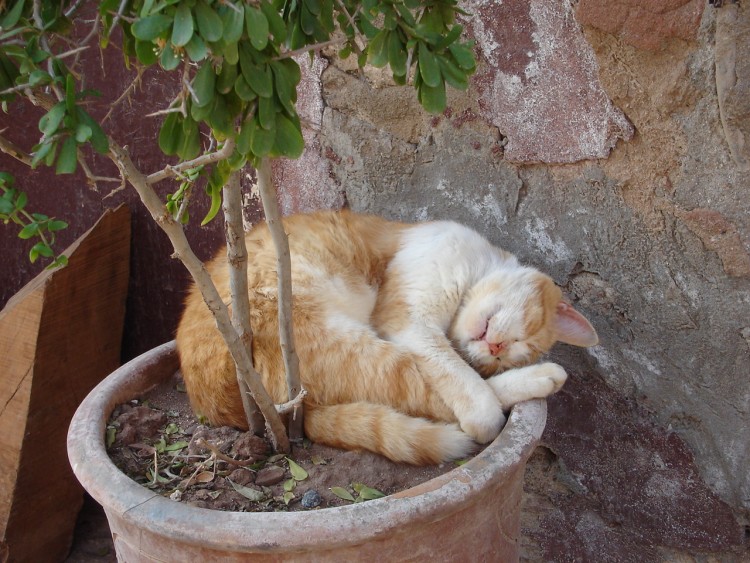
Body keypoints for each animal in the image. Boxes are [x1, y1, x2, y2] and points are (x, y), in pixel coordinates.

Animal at [176, 209, 600, 464]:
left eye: (507, 354)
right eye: (525, 337)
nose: (496, 349)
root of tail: (214, 407)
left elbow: (465, 373)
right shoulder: (410, 321)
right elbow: (465, 383)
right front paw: (487, 406)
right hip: (341, 344)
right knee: (429, 396)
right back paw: (545, 378)